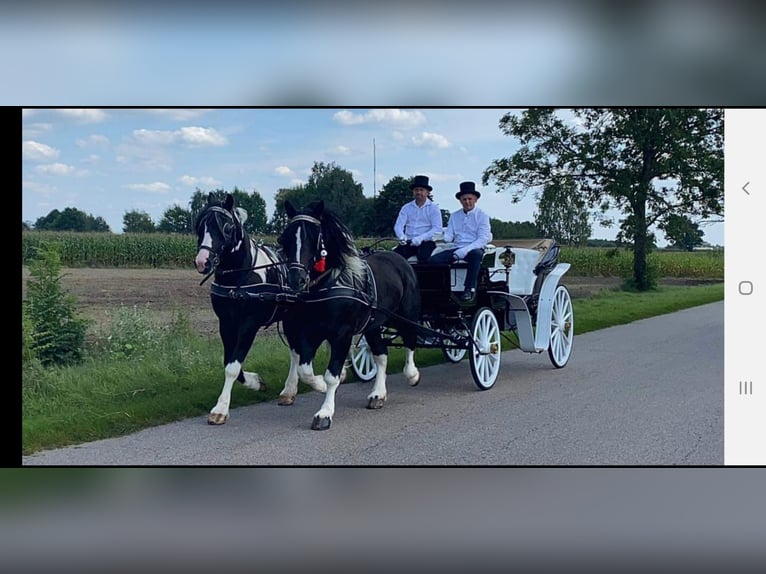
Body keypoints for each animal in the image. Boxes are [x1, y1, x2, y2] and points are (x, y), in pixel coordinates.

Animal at [195, 196, 328, 426]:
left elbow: (232, 366)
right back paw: (289, 391)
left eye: (226, 228)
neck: (239, 278)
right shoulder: (226, 323)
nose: (202, 261)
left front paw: (220, 409)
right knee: (295, 351)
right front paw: (256, 382)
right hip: (291, 317)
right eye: (199, 225)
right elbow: (230, 362)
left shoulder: (249, 324)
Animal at [278, 200, 424, 430]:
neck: (326, 286)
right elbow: (305, 370)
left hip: (407, 315)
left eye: (313, 236)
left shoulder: (342, 335)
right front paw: (319, 384)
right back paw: (378, 394)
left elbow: (332, 375)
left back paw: (412, 375)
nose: (296, 279)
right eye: (285, 238)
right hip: (373, 325)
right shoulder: (306, 333)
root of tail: (399, 258)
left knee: (410, 340)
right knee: (381, 354)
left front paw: (324, 413)